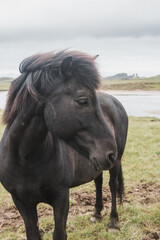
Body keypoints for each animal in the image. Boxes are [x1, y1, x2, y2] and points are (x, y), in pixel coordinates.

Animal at [0, 49, 127, 239]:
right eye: (83, 101)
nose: (110, 153)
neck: (25, 159)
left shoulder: (61, 198)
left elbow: (59, 234)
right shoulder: (22, 203)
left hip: (115, 163)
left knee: (113, 186)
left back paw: (113, 222)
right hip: (96, 164)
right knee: (98, 182)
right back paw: (96, 214)